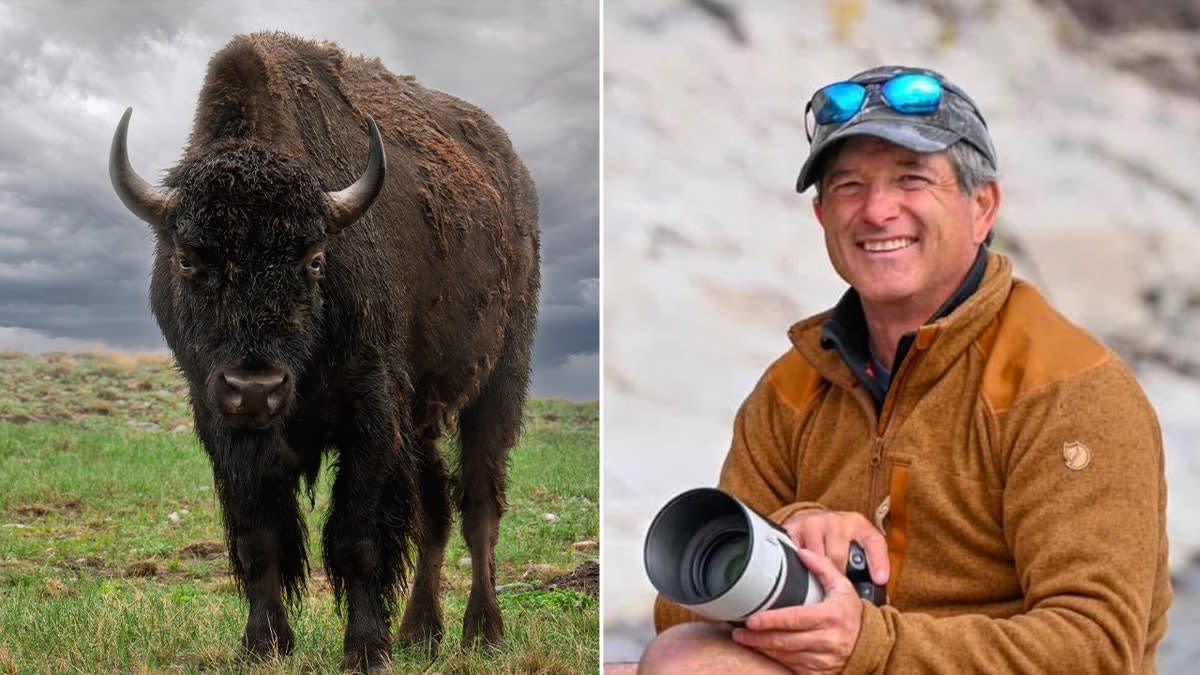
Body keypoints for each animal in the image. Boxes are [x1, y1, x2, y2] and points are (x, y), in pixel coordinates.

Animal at [108, 31, 540, 671]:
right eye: (186, 259)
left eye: (314, 260)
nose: (256, 389)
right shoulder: (220, 422)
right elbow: (259, 538)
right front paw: (262, 644)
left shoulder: (372, 410)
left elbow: (356, 536)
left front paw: (364, 650)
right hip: (423, 417)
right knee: (434, 511)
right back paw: (419, 631)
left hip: (500, 378)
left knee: (479, 507)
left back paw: (482, 631)